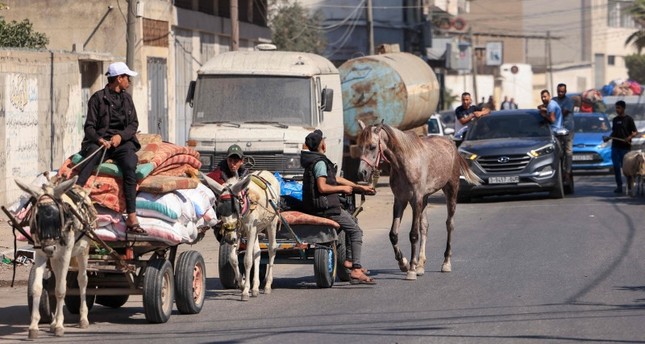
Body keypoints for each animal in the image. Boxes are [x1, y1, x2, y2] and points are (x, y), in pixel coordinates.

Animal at [14, 176, 94, 338]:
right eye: (36, 216)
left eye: (59, 216)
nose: (50, 248)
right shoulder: (40, 252)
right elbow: (37, 288)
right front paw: (34, 327)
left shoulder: (65, 253)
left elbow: (61, 290)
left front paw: (59, 326)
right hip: (55, 258)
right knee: (57, 279)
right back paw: (53, 322)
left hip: (82, 250)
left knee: (82, 280)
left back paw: (83, 318)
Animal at [201, 171, 280, 300]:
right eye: (219, 209)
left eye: (234, 208)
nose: (229, 239)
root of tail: (267, 172)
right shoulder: (238, 231)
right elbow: (233, 259)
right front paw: (242, 285)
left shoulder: (250, 230)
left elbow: (247, 260)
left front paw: (245, 291)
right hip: (257, 228)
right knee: (257, 252)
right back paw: (255, 287)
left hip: (272, 222)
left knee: (271, 249)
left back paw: (267, 285)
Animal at [354, 122, 480, 280]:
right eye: (359, 146)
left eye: (372, 146)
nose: (361, 173)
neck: (405, 162)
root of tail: (452, 145)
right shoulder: (400, 201)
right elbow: (393, 234)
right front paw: (404, 263)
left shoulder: (416, 200)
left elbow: (413, 235)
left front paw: (411, 269)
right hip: (425, 199)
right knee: (424, 227)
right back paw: (420, 265)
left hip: (451, 191)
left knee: (449, 225)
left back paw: (445, 263)